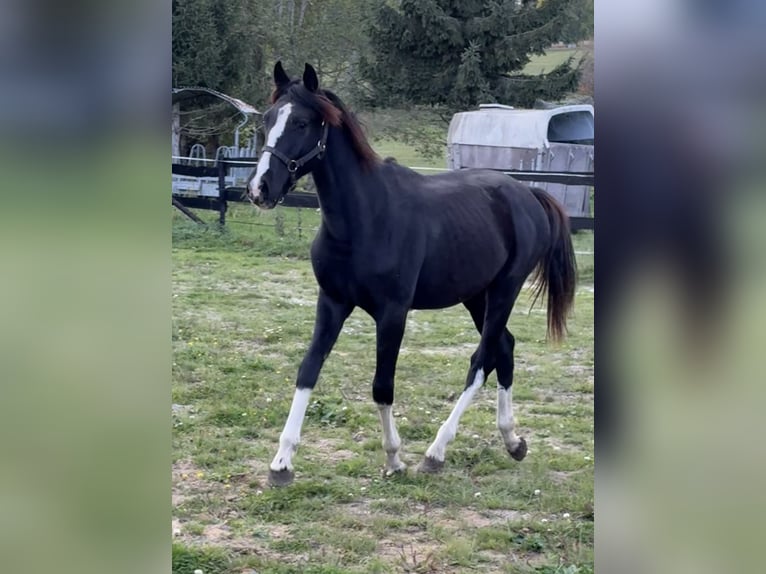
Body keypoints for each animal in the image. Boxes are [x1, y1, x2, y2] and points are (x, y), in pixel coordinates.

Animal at [247, 62, 577, 486]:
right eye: (268, 119)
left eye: (302, 122)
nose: (260, 188)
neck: (363, 218)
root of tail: (527, 194)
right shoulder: (332, 303)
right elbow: (308, 370)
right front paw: (282, 462)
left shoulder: (393, 313)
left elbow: (382, 385)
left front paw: (394, 458)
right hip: (477, 296)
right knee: (504, 348)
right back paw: (512, 441)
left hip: (506, 289)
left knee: (480, 361)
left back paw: (436, 452)